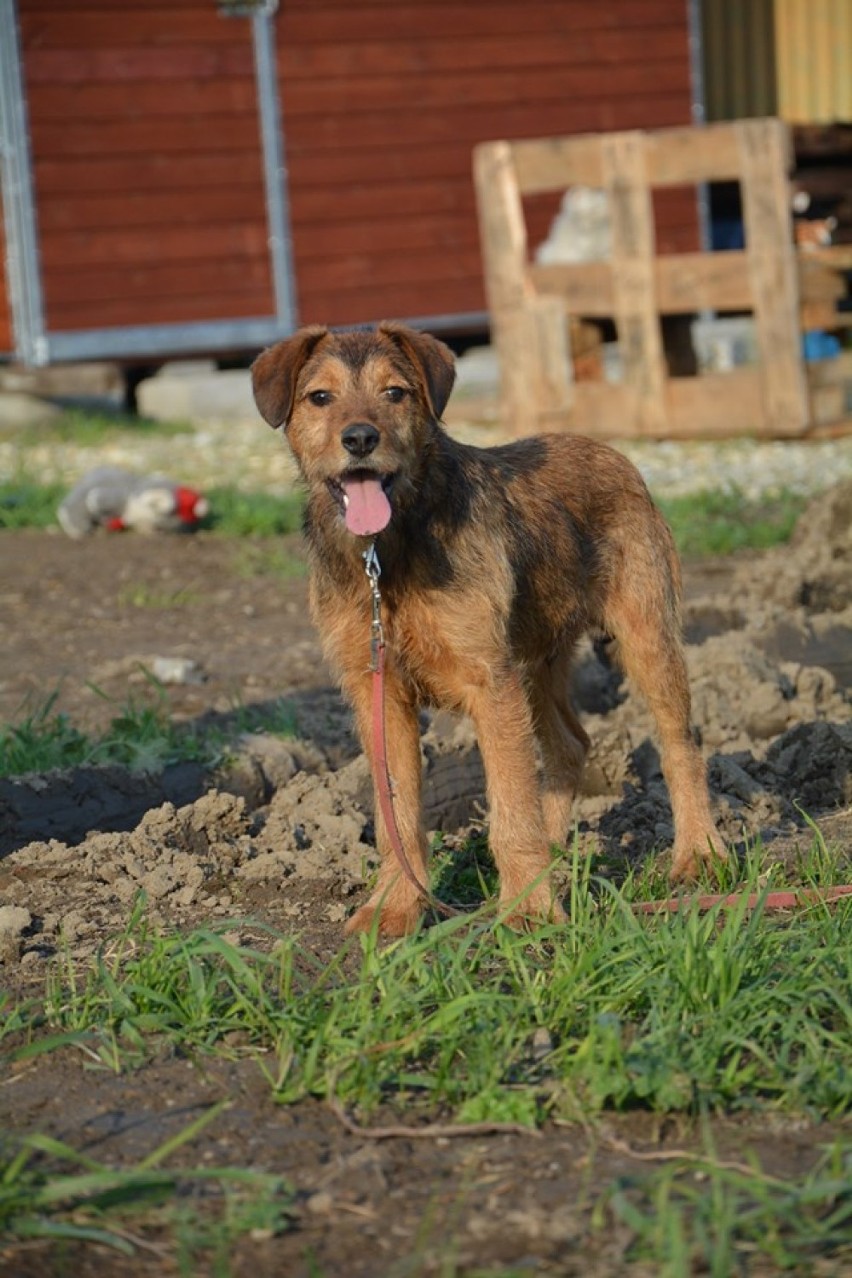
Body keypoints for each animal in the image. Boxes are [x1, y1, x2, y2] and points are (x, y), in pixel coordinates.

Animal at [251, 324, 720, 935]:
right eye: (320, 398)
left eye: (395, 393)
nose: (359, 439)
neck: (386, 553)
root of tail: (612, 453)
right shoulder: (380, 692)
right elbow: (397, 813)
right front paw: (395, 907)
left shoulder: (489, 681)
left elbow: (511, 808)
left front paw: (529, 910)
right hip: (535, 660)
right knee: (570, 745)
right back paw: (556, 853)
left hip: (644, 639)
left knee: (680, 745)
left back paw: (698, 854)